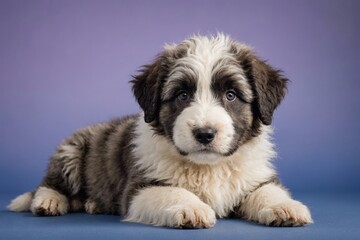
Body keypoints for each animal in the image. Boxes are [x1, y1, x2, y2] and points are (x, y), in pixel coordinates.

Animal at [7, 33, 312, 227]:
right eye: (182, 95)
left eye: (231, 95)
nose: (205, 134)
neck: (207, 167)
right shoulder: (139, 188)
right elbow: (173, 192)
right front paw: (191, 207)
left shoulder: (254, 177)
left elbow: (267, 191)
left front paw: (285, 207)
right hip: (71, 152)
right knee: (48, 183)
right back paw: (48, 202)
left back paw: (93, 203)